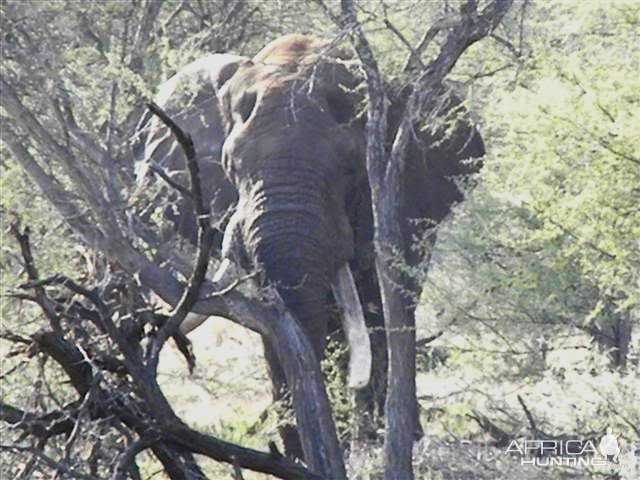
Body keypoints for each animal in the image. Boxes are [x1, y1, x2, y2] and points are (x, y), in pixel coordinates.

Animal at [136, 32, 484, 458]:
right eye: (232, 168)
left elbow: (376, 304)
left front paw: (364, 443)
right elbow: (274, 325)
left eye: (351, 169)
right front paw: (299, 454)